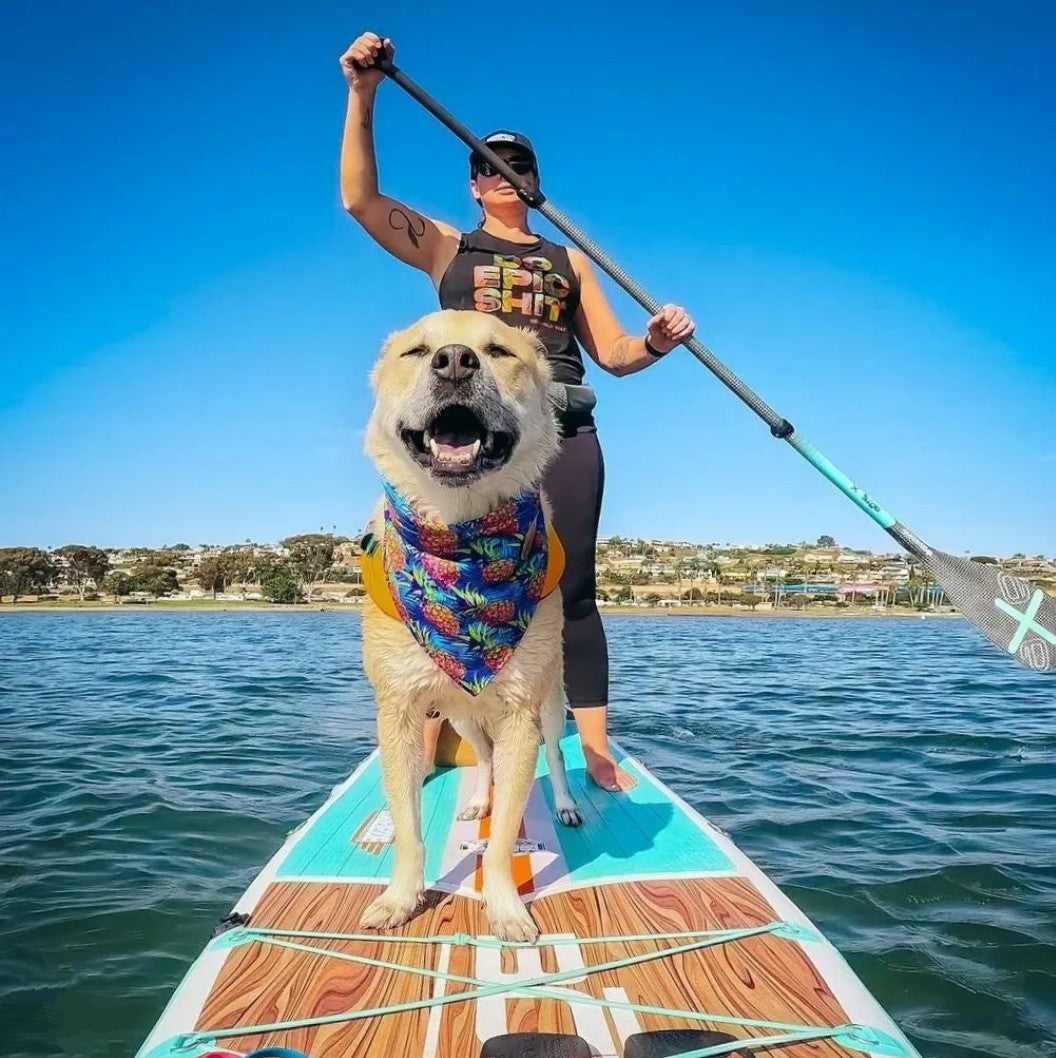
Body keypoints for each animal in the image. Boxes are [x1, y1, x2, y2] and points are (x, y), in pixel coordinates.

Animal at [361, 308, 579, 943]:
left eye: (500, 351)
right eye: (415, 351)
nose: (455, 361)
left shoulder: (519, 715)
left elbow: (505, 839)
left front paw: (505, 907)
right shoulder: (400, 712)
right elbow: (408, 828)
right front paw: (401, 899)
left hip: (550, 701)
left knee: (556, 756)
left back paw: (565, 803)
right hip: (457, 710)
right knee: (481, 759)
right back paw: (479, 800)